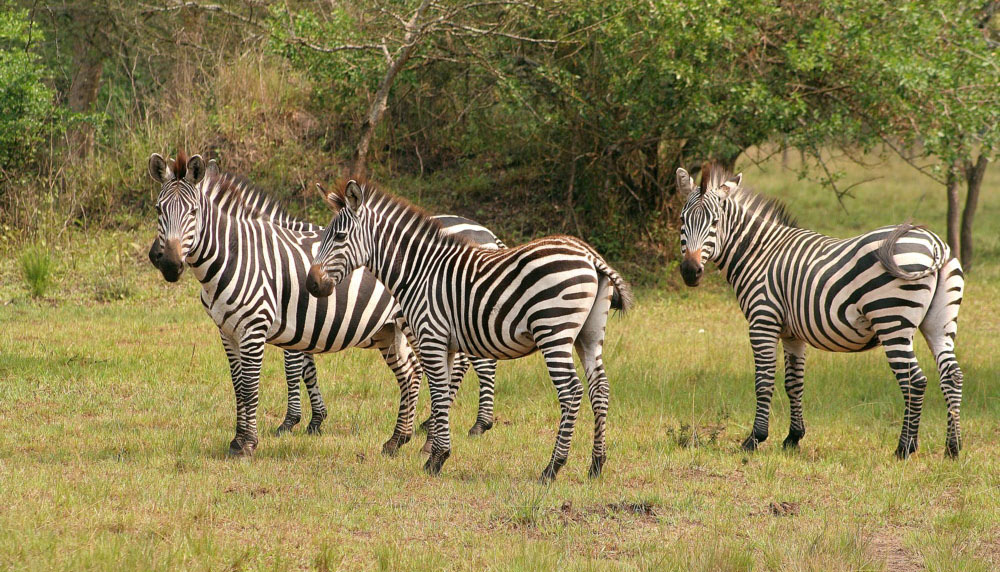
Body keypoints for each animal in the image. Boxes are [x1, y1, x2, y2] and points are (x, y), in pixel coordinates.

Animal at [146, 152, 504, 456]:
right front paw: (252, 436)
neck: (239, 253)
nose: (166, 262)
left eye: (193, 213)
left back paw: (461, 429)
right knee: (414, 373)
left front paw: (259, 438)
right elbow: (245, 384)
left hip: (432, 319)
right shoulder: (229, 331)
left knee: (462, 366)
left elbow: (267, 379)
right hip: (392, 330)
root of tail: (487, 233)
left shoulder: (264, 325)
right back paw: (401, 439)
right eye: (158, 210)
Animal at [306, 180, 632, 482]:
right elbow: (443, 393)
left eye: (339, 236)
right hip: (589, 336)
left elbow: (439, 391)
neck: (418, 271)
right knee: (600, 389)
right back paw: (596, 465)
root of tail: (590, 256)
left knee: (571, 391)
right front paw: (434, 452)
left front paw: (436, 459)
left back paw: (552, 468)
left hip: (554, 332)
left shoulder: (431, 337)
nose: (312, 284)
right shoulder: (446, 344)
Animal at [676, 163, 964, 458]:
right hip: (939, 324)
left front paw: (755, 438)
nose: (690, 271)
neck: (759, 253)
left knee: (914, 381)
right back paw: (953, 448)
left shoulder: (762, 320)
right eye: (682, 220)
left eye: (715, 223)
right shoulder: (792, 333)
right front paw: (793, 438)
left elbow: (764, 380)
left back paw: (905, 448)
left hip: (892, 320)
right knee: (951, 375)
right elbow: (794, 383)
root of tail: (934, 242)